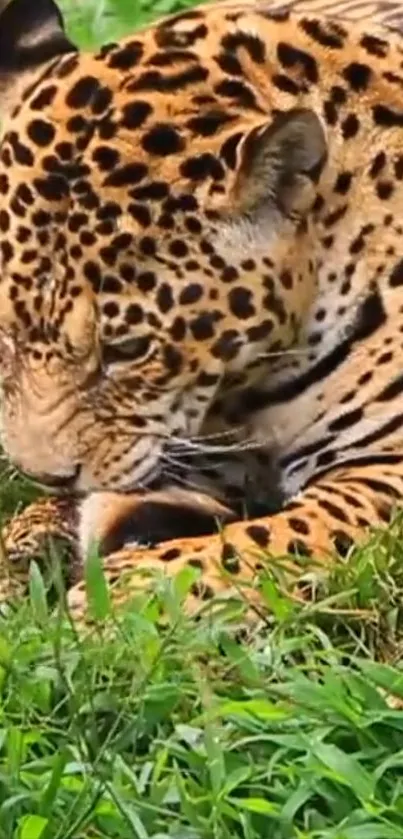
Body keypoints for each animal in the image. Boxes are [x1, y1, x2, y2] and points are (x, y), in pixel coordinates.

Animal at [0, 0, 403, 620]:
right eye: (4, 334)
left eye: (127, 351)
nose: (47, 476)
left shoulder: (384, 468)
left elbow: (266, 538)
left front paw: (124, 601)